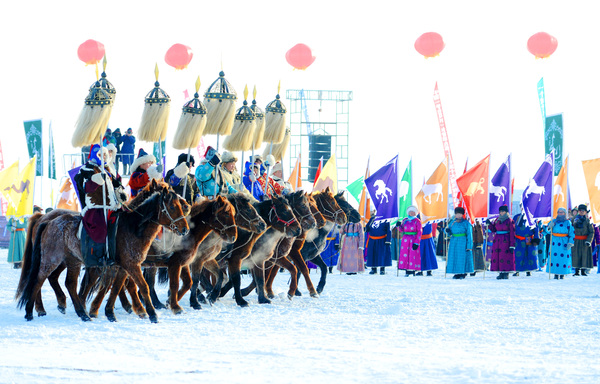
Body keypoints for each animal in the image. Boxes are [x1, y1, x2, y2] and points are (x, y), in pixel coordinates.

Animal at [16, 181, 189, 324]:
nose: (185, 228)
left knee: (69, 283)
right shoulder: (132, 265)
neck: (132, 227)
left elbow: (115, 288)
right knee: (39, 279)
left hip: (72, 261)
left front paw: (109, 313)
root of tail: (48, 221)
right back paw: (31, 311)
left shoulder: (121, 267)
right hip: (51, 259)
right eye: (172, 207)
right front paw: (151, 314)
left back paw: (81, 313)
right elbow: (142, 286)